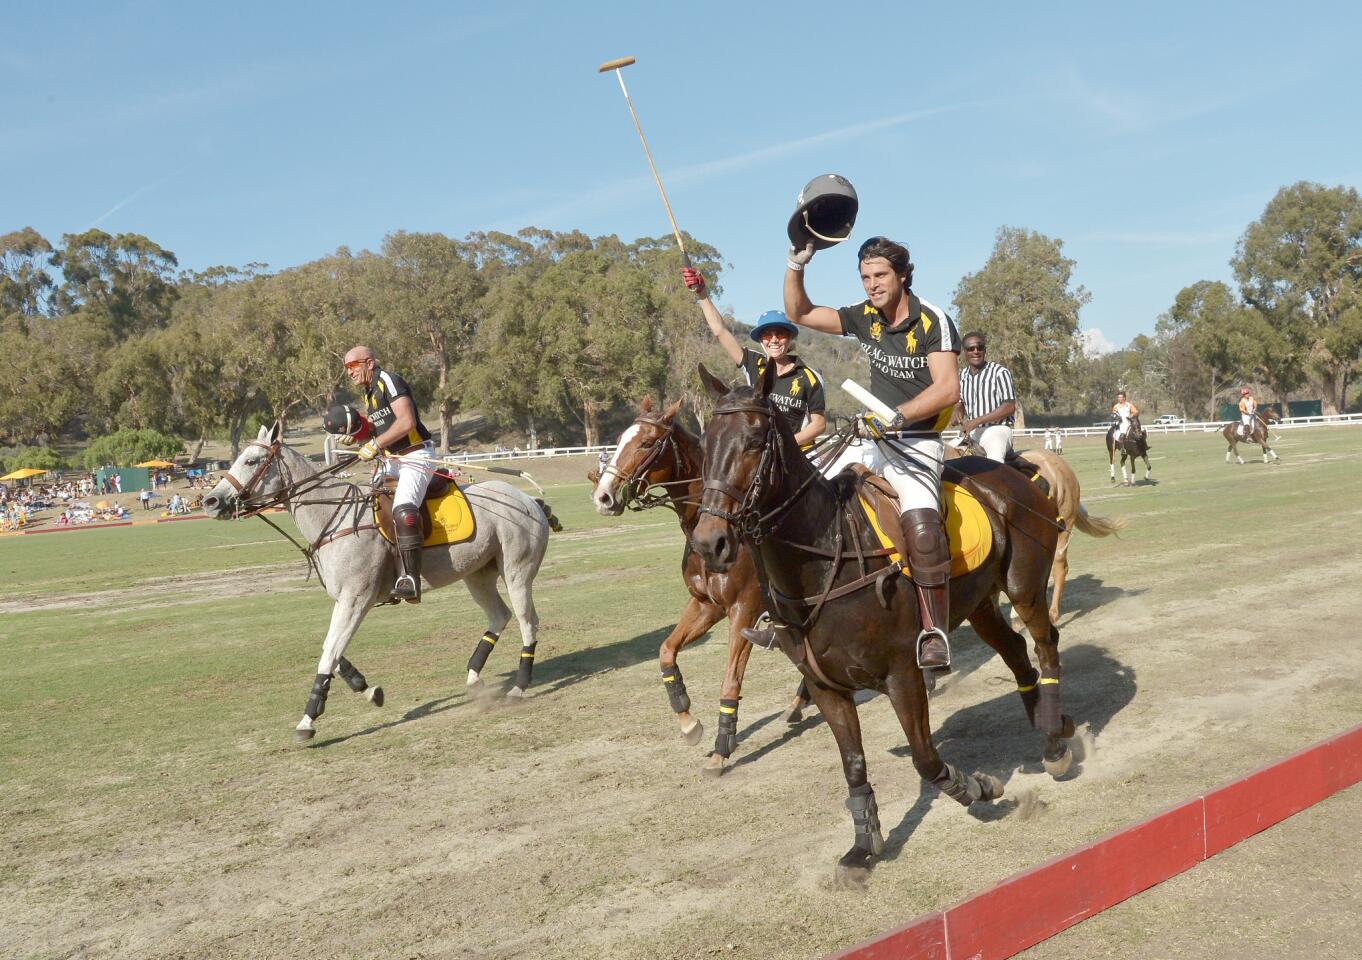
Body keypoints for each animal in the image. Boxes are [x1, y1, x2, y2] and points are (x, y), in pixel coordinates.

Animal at [202, 422, 552, 740]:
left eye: (251, 461)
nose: (210, 501)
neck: (334, 519)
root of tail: (530, 501)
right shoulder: (344, 599)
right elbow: (332, 650)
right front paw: (368, 690)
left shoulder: (357, 598)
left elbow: (329, 652)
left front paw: (307, 720)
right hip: (477, 574)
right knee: (499, 615)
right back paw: (474, 678)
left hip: (517, 571)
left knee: (527, 620)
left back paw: (519, 687)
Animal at [588, 392, 806, 773]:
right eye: (617, 440)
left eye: (647, 442)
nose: (603, 497)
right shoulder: (707, 605)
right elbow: (665, 651)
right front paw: (689, 721)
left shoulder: (744, 610)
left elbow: (730, 681)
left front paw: (722, 747)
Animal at [691, 367, 1073, 876]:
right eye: (705, 443)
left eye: (754, 441)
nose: (708, 543)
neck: (824, 556)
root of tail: (1020, 475)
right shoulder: (824, 684)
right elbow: (853, 763)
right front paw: (862, 846)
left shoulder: (901, 672)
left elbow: (925, 758)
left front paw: (977, 787)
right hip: (978, 601)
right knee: (1013, 648)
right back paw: (1046, 715)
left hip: (1024, 584)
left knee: (1045, 642)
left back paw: (1053, 741)